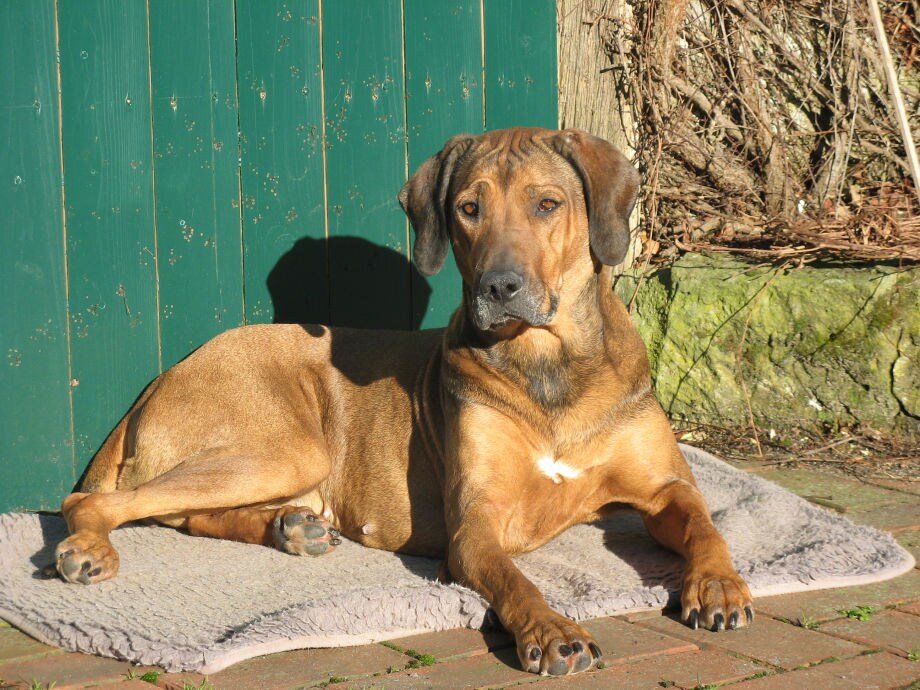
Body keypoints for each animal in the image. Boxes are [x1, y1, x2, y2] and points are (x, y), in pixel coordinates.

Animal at [54, 127, 752, 672]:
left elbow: (704, 521)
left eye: (547, 204)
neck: (546, 365)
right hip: (287, 447)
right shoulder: (476, 523)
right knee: (93, 502)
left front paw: (718, 586)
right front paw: (553, 631)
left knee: (190, 513)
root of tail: (160, 379)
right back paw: (90, 549)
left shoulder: (664, 487)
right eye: (468, 208)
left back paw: (290, 529)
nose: (500, 286)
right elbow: (516, 580)